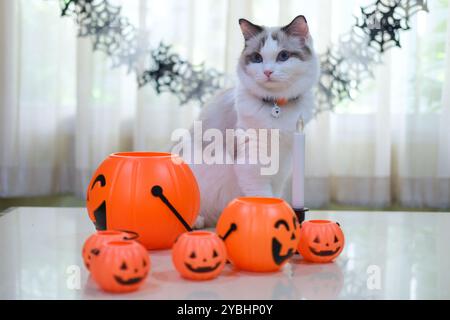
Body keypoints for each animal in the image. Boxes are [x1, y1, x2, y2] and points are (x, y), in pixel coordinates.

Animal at [179, 15, 320, 228]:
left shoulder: (282, 164)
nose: (268, 72)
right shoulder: (252, 164)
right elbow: (263, 198)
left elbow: (274, 196)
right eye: (257, 58)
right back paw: (197, 221)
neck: (275, 106)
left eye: (283, 56)